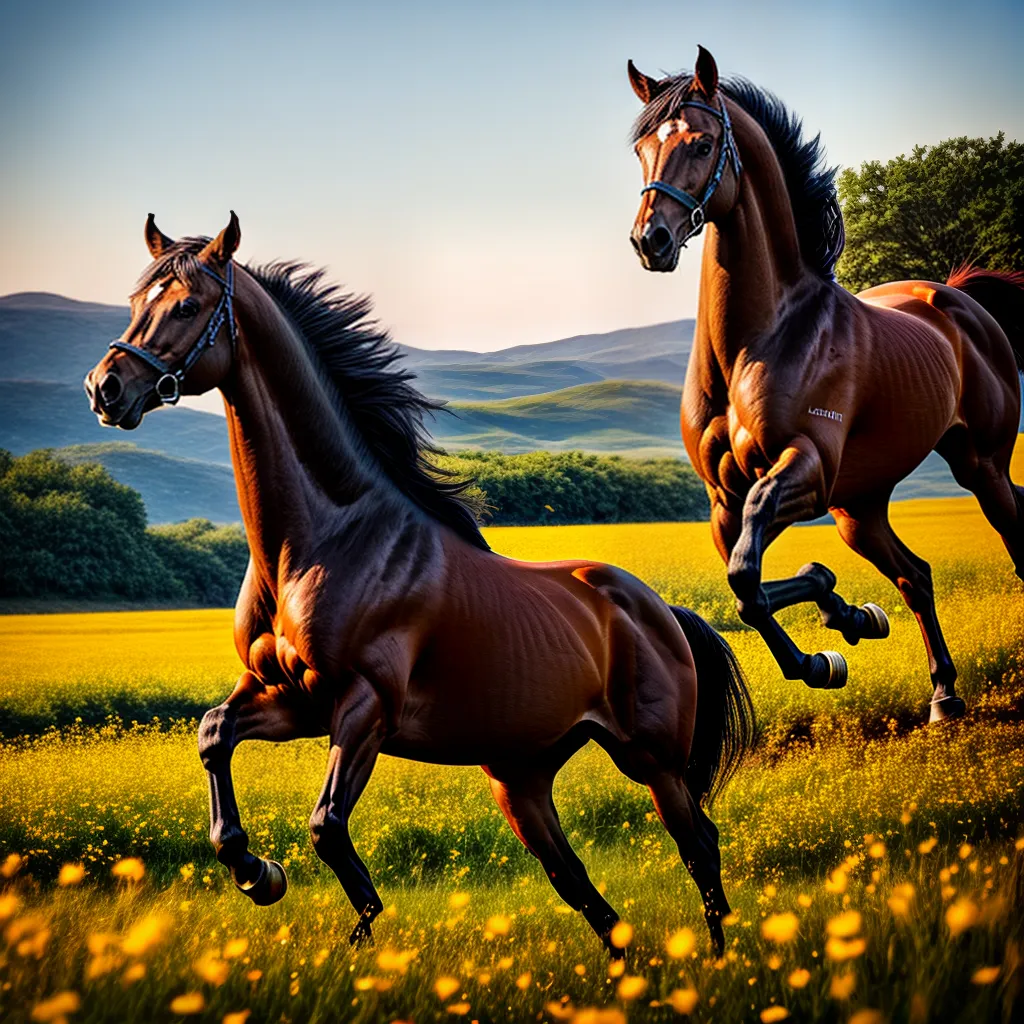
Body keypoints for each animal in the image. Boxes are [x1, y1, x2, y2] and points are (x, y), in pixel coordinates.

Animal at [83, 213, 755, 954]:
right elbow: (213, 734)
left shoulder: (363, 707)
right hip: (520, 777)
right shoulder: (286, 698)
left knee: (698, 845)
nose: (105, 388)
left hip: (653, 760)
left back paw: (716, 958)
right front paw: (259, 873)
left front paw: (356, 920)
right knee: (576, 879)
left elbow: (326, 825)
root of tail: (662, 610)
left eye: (187, 305)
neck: (324, 541)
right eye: (136, 299)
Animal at [627, 46, 1024, 723]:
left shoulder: (805, 470)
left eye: (702, 143)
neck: (761, 337)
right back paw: (943, 695)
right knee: (916, 576)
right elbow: (747, 590)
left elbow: (749, 578)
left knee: (1016, 539)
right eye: (640, 148)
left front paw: (835, 625)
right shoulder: (724, 498)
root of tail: (956, 297)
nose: (649, 240)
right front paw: (842, 633)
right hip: (858, 509)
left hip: (981, 467)